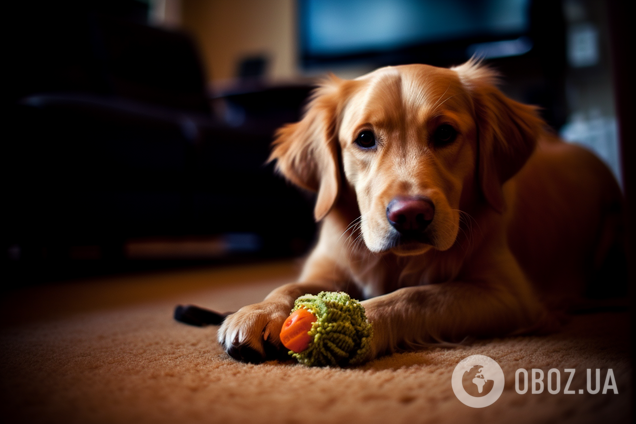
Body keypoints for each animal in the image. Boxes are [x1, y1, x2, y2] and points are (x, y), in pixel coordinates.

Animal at [216, 58, 624, 364]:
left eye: (444, 133)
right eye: (365, 138)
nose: (410, 215)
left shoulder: (508, 296)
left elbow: (414, 296)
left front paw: (364, 321)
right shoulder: (328, 267)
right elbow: (288, 286)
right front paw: (257, 312)